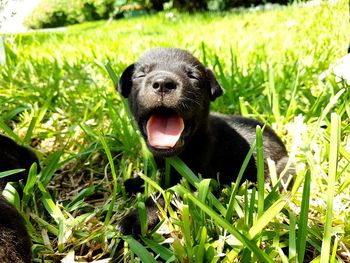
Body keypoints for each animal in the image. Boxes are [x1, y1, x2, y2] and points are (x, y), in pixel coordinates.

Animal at [117, 48, 290, 235]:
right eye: (141, 75)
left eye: (193, 76)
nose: (163, 82)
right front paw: (135, 182)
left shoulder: (195, 181)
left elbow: (165, 194)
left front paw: (137, 217)